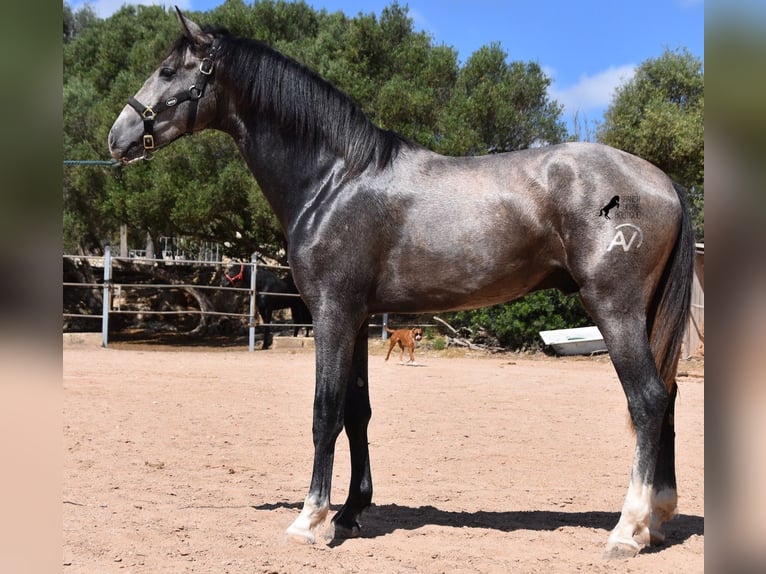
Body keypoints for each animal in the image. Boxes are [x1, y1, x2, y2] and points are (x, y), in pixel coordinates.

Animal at [111, 7, 700, 560]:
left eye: (168, 70)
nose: (118, 137)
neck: (334, 180)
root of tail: (661, 179)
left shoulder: (332, 314)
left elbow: (325, 411)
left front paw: (309, 520)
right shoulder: (361, 319)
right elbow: (357, 413)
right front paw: (350, 513)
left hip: (615, 309)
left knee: (648, 400)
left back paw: (626, 530)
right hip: (643, 316)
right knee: (668, 396)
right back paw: (657, 519)